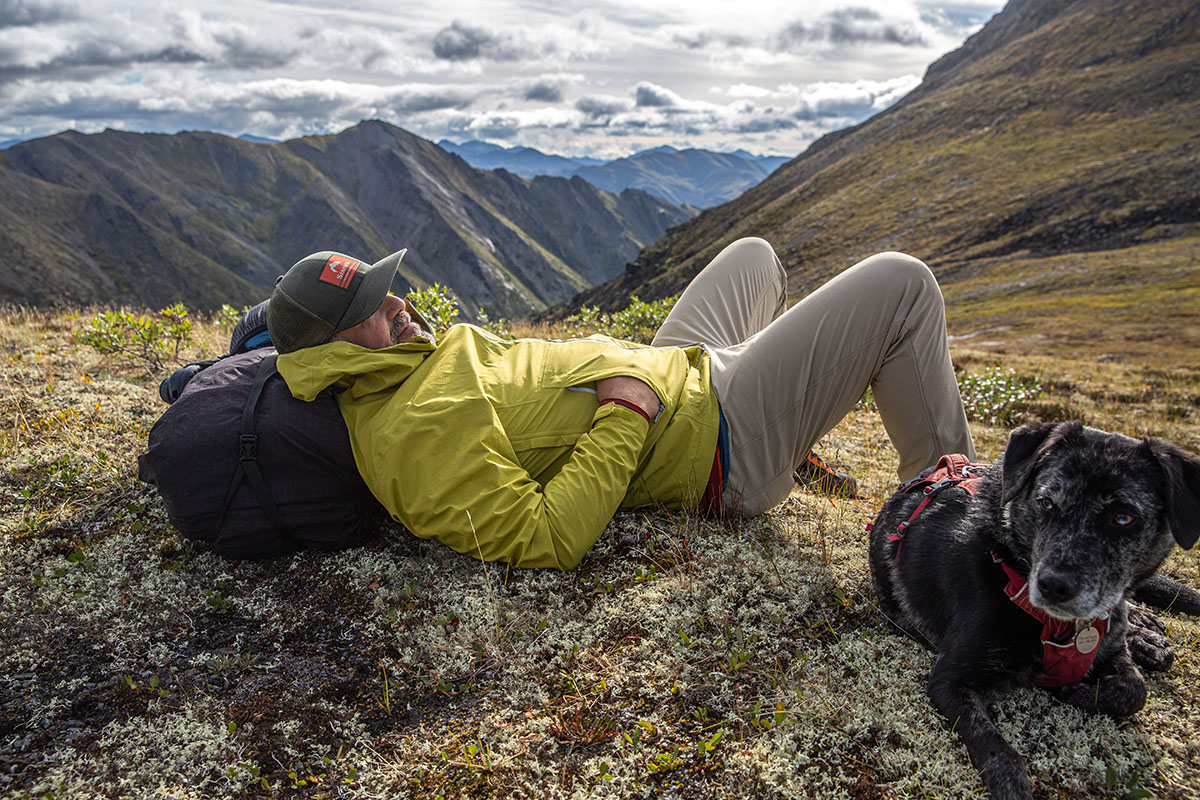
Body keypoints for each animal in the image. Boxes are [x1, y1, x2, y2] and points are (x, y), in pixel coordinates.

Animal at [868, 422, 1200, 796]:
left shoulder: (1111, 644)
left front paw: (1078, 688)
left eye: (1123, 517)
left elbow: (1133, 690)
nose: (1053, 585)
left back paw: (1147, 636)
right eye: (1046, 502)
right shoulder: (950, 681)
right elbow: (999, 751)